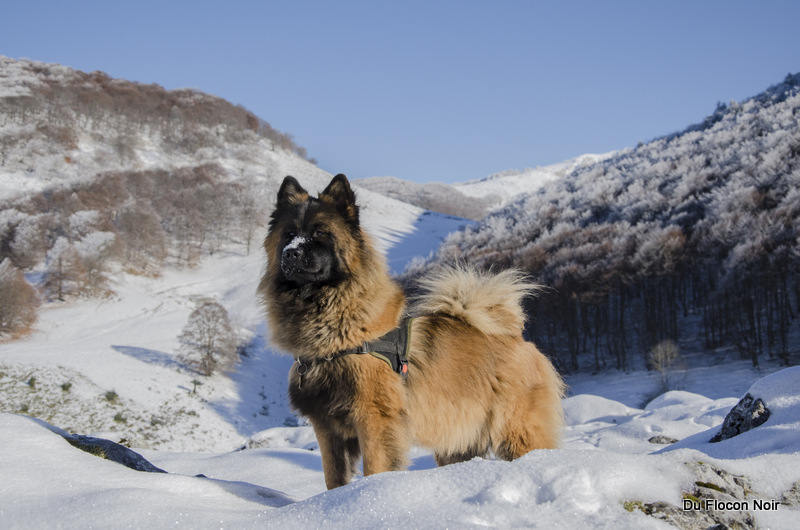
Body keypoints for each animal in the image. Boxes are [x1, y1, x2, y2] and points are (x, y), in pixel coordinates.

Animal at [260, 173, 564, 486]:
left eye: (321, 233)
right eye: (288, 234)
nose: (292, 253)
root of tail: (517, 337)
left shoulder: (373, 417)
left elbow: (376, 468)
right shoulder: (327, 428)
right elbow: (335, 480)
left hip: (517, 433)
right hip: (457, 443)